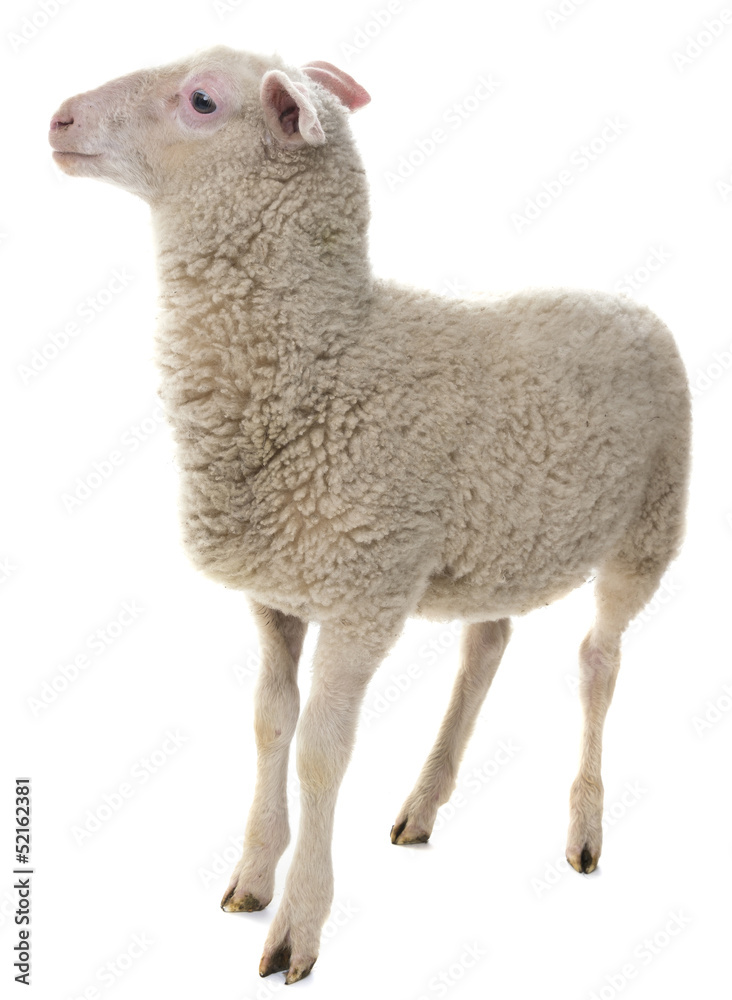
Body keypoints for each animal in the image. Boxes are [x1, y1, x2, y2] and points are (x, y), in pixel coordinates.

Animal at [49, 45, 691, 984]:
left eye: (202, 101)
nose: (57, 118)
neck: (330, 358)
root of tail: (630, 302)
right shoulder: (279, 594)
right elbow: (270, 724)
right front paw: (251, 877)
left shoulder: (362, 590)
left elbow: (321, 752)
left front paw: (297, 929)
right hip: (499, 539)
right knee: (487, 644)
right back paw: (425, 803)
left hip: (650, 525)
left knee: (598, 660)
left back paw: (583, 828)